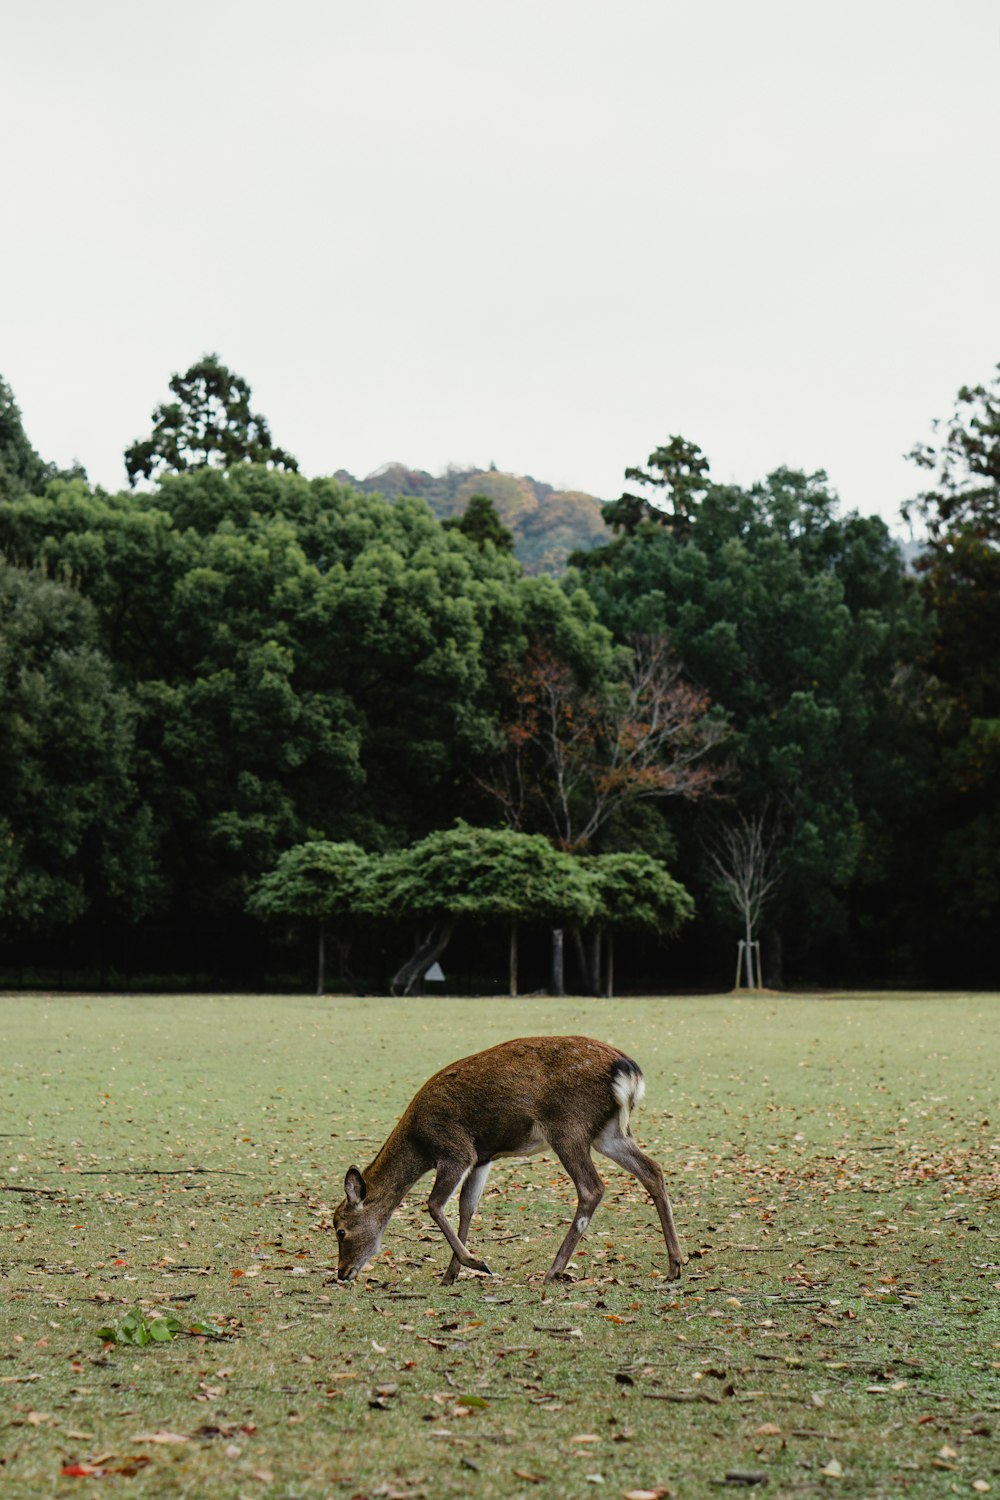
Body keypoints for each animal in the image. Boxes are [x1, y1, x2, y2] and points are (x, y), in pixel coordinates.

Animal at [332, 1032, 683, 1290]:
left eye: (340, 1231)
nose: (342, 1272)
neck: (420, 1143)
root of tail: (628, 1070)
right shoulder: (483, 1158)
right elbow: (467, 1207)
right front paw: (451, 1274)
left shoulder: (457, 1150)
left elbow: (433, 1204)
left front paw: (477, 1263)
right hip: (610, 1133)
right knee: (653, 1170)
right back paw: (675, 1265)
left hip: (568, 1126)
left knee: (592, 1187)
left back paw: (552, 1272)